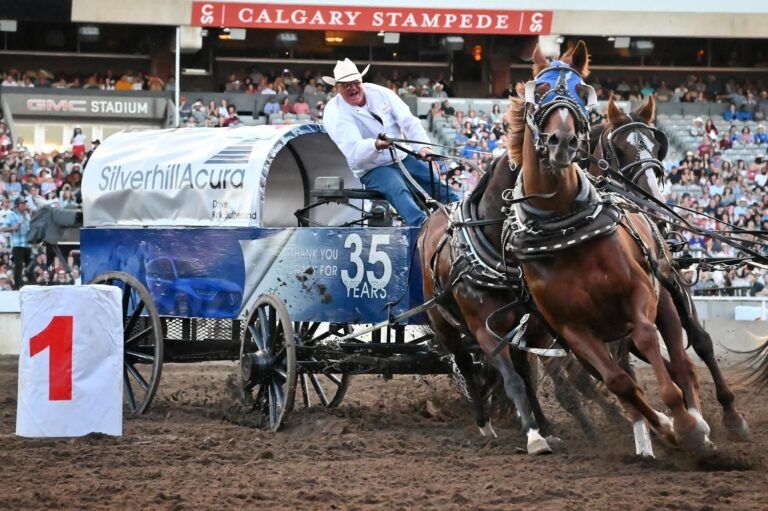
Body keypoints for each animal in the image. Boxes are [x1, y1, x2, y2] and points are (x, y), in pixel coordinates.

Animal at [588, 98, 752, 442]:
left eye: (654, 145)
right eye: (618, 150)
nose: (654, 205)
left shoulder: (671, 283)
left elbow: (700, 341)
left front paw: (730, 414)